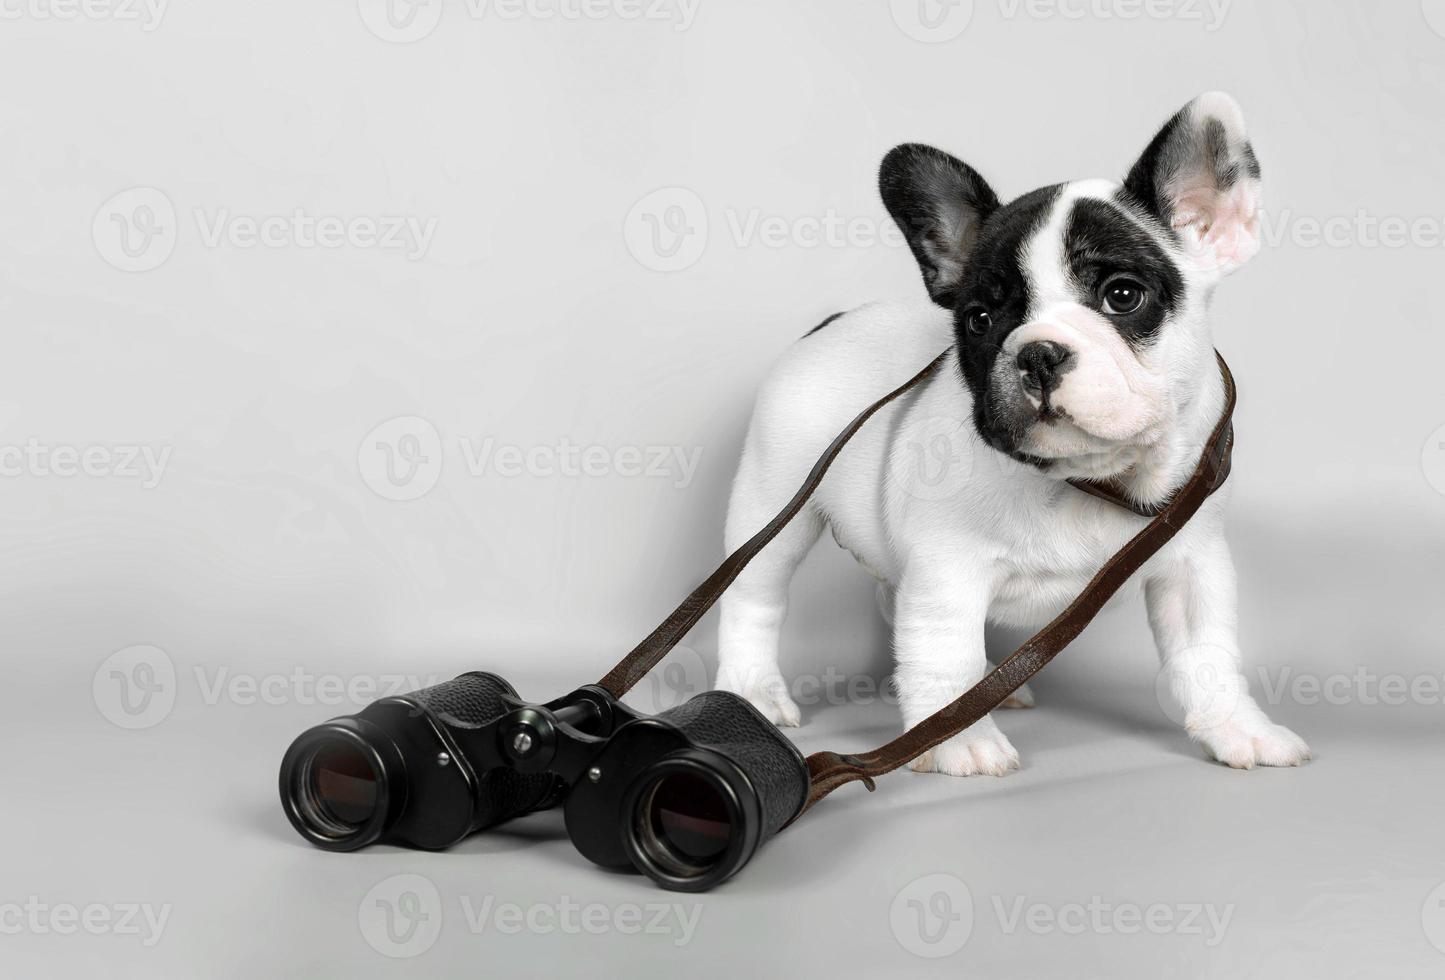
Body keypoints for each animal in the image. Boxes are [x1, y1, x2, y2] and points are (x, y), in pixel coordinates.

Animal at [710, 96, 1312, 780]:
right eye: (979, 319)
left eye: (1123, 295)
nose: (1038, 353)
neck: (1087, 478)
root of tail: (829, 324)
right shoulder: (946, 573)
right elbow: (943, 653)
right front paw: (958, 739)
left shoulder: (1192, 563)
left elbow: (1206, 655)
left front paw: (1239, 729)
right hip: (773, 504)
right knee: (755, 599)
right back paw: (755, 691)